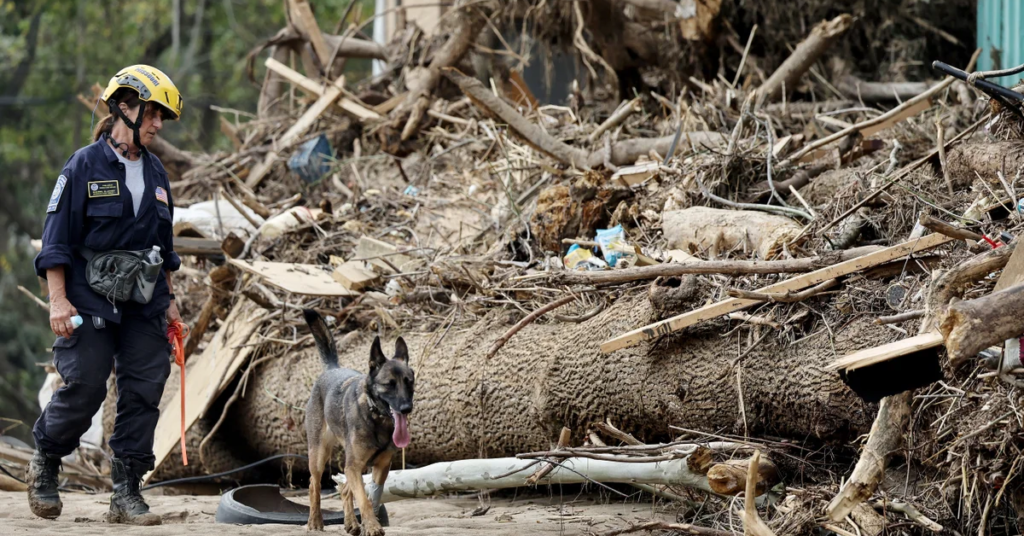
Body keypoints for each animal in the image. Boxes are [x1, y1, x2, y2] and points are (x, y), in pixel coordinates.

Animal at [301, 307, 413, 532]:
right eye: (389, 384)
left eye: (409, 382)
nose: (406, 408)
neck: (376, 417)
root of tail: (332, 369)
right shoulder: (353, 466)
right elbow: (363, 498)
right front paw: (372, 527)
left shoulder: (380, 467)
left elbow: (371, 496)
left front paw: (370, 522)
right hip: (319, 455)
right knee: (314, 485)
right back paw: (315, 521)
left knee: (345, 488)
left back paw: (351, 523)